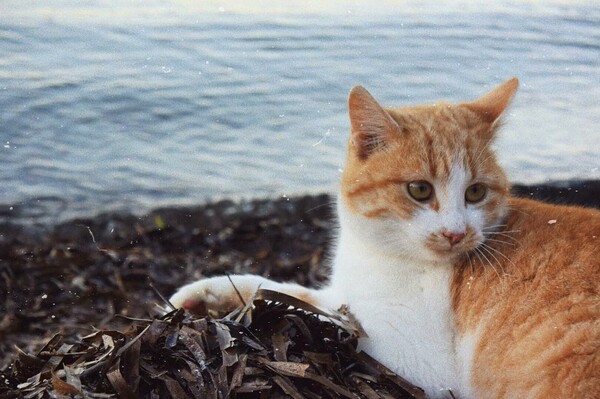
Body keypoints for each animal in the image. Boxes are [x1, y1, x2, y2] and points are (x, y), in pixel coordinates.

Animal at [170, 78, 600, 399]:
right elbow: (284, 290)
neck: (383, 255)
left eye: (475, 192)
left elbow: (326, 316)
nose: (456, 232)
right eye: (419, 190)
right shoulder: (343, 294)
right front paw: (208, 294)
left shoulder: (411, 361)